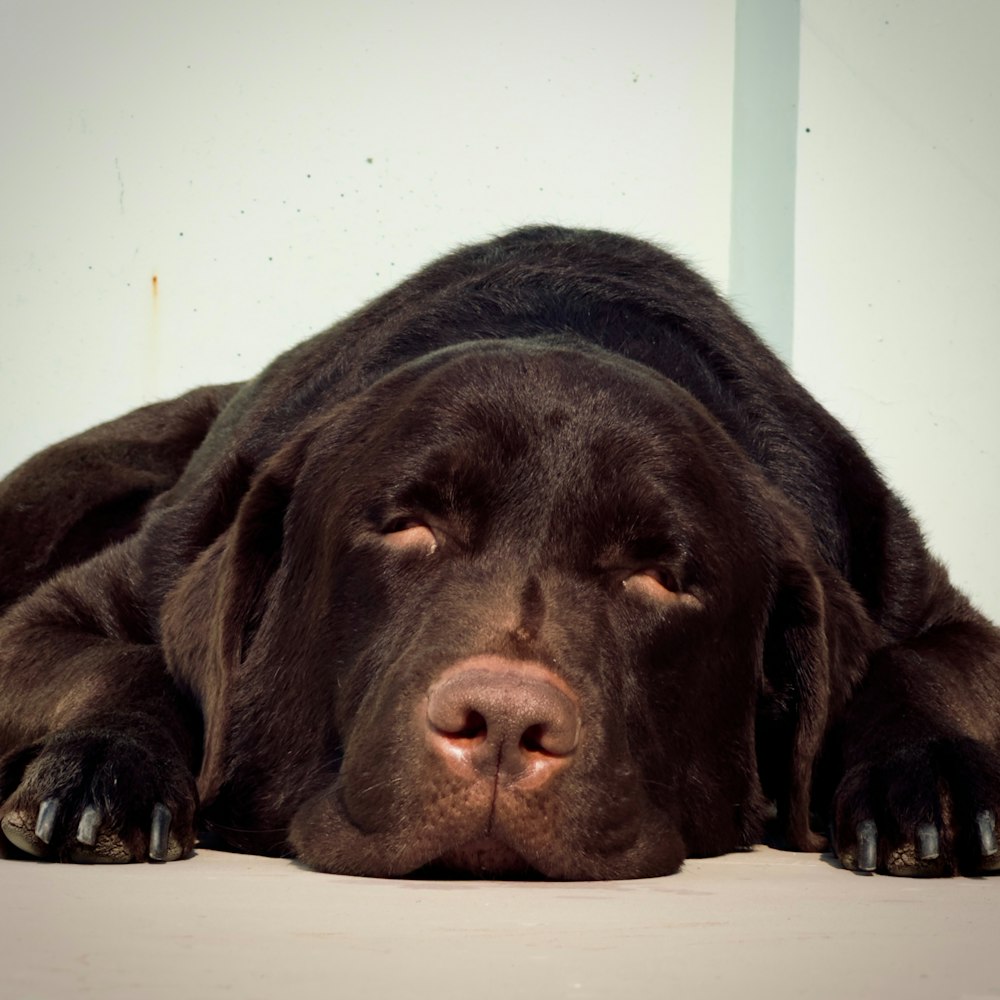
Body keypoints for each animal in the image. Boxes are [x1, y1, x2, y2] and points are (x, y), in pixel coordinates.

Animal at [1, 225, 1000, 876]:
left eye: (661, 579)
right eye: (408, 526)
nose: (507, 723)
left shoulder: (919, 594)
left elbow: (919, 664)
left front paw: (936, 782)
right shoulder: (89, 600)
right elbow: (124, 657)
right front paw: (105, 767)